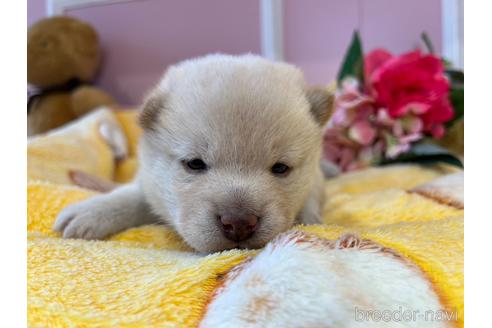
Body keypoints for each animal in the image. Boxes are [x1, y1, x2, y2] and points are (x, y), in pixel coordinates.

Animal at [53, 55, 332, 252]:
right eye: (195, 164)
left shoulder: (313, 177)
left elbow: (311, 196)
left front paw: (311, 219)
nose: (239, 223)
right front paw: (92, 211)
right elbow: (134, 196)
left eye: (280, 168)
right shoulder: (151, 181)